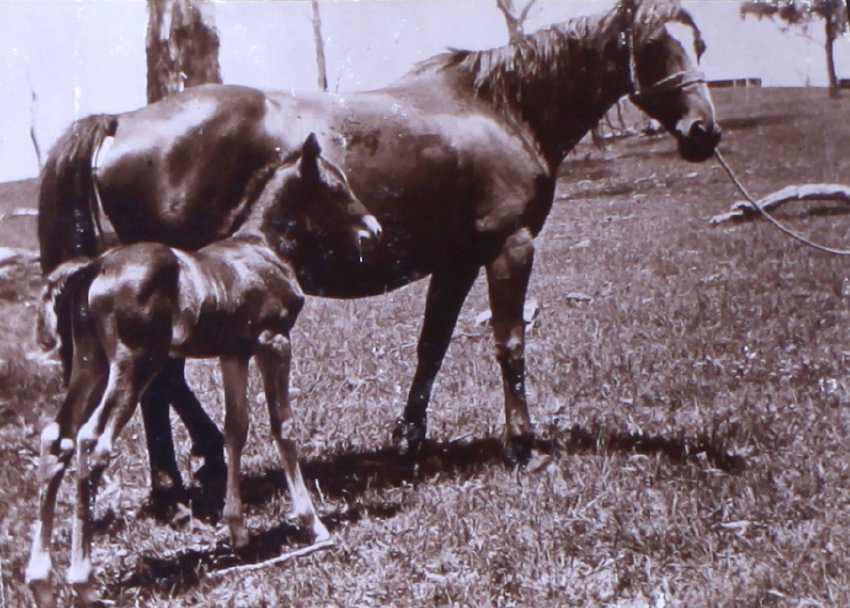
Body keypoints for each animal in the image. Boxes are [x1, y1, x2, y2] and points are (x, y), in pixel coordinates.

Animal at [26, 134, 380, 607]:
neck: (262, 248)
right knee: (91, 441)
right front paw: (313, 524)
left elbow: (235, 428)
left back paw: (41, 580)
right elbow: (282, 427)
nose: (374, 229)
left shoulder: (234, 354)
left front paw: (238, 530)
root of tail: (94, 266)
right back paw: (83, 580)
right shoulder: (274, 342)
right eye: (336, 187)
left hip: (90, 363)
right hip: (134, 362)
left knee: (57, 438)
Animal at [38, 0, 721, 505]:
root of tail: (123, 120)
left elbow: (432, 345)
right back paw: (181, 479)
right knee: (160, 380)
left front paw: (409, 439)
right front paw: (522, 446)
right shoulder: (509, 248)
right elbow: (509, 344)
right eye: (654, 45)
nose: (704, 133)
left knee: (161, 382)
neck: (499, 108)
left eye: (701, 45)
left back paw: (183, 476)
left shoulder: (456, 261)